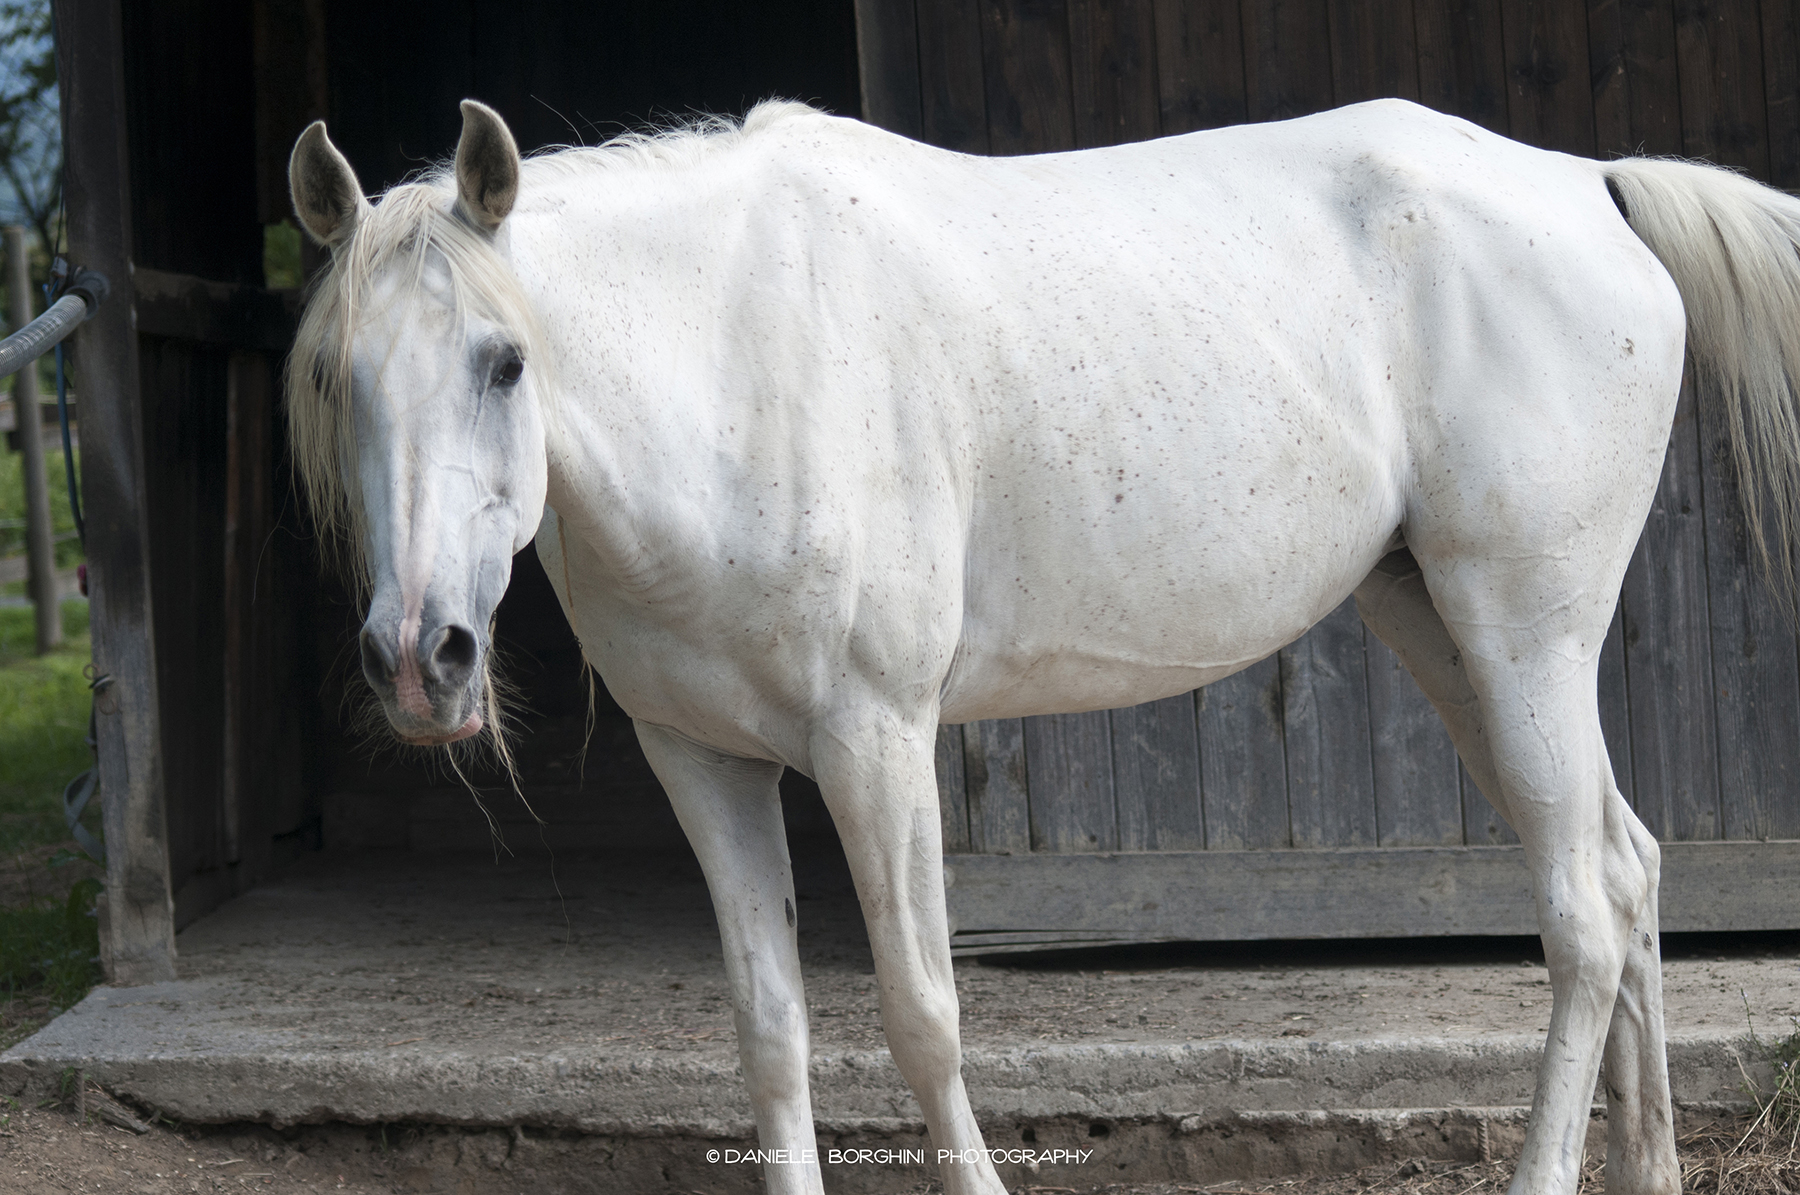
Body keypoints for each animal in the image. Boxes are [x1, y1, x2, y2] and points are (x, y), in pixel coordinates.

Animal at [284, 95, 1800, 1195]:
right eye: (338, 380)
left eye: (505, 361)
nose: (423, 658)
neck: (735, 360)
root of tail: (1589, 183)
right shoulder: (702, 761)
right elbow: (771, 1034)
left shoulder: (875, 744)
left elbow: (923, 1015)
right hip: (1445, 631)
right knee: (1628, 868)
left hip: (1523, 637)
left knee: (1584, 914)